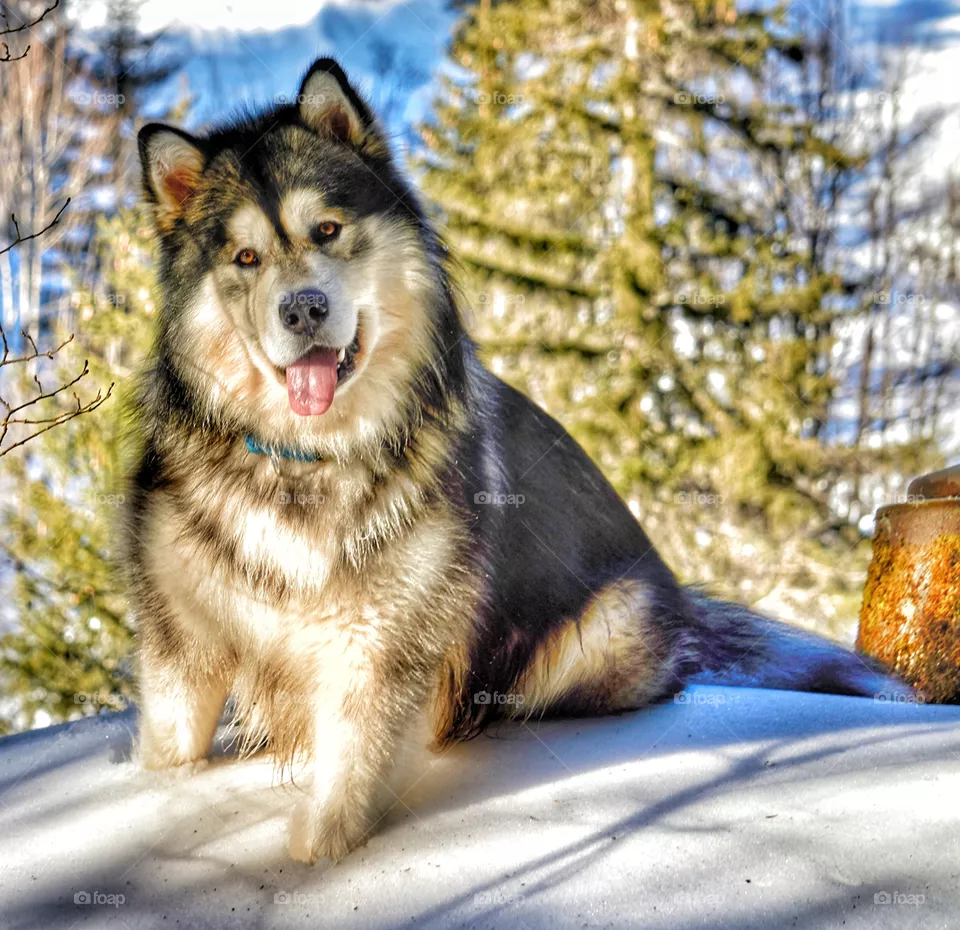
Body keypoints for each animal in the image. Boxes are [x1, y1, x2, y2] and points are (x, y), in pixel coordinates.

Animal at [125, 58, 907, 863]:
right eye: (245, 258)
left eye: (329, 230)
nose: (303, 308)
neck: (307, 458)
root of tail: (680, 602)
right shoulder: (181, 640)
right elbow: (173, 747)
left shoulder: (381, 650)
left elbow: (347, 783)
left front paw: (316, 859)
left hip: (599, 634)